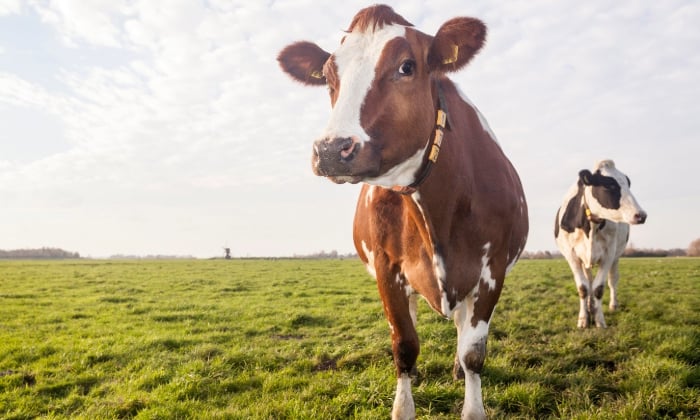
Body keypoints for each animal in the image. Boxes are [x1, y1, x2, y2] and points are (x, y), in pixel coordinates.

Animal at [276, 4, 528, 418]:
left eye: (406, 66)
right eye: (329, 76)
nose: (331, 149)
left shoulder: (492, 272)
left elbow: (474, 353)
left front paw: (470, 397)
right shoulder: (387, 267)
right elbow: (405, 345)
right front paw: (404, 403)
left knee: (462, 330)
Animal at [556, 160, 648, 328]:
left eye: (628, 185)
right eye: (608, 186)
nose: (641, 215)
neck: (590, 226)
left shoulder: (608, 254)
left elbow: (598, 288)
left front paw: (599, 320)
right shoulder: (571, 255)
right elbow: (583, 288)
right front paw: (583, 319)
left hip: (616, 257)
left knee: (612, 281)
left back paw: (611, 305)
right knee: (589, 281)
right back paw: (589, 306)